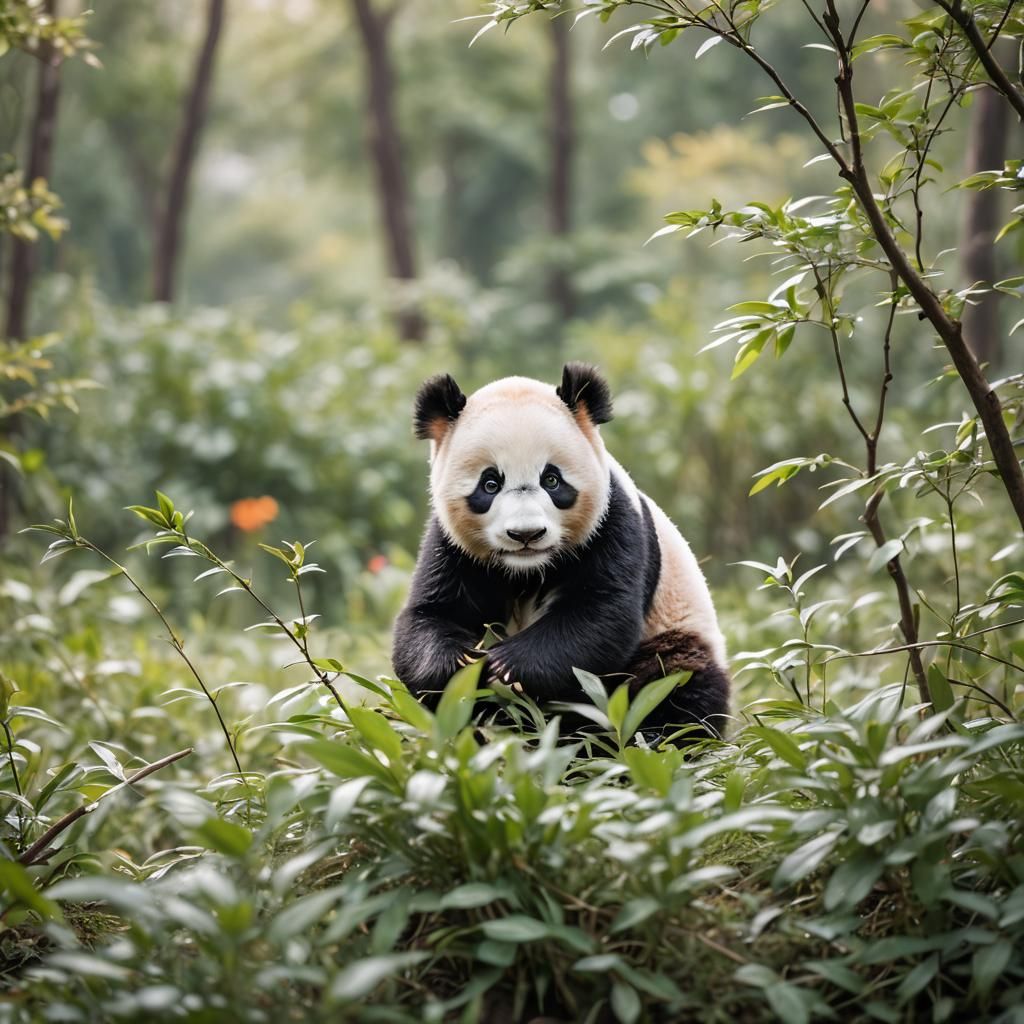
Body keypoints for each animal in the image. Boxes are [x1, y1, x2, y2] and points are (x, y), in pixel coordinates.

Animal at [391, 362, 730, 741]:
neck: (528, 569)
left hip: (671, 637)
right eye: (490, 484)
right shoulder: (452, 547)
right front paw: (462, 666)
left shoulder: (613, 523)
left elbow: (600, 615)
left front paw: (506, 665)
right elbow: (430, 614)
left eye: (551, 480)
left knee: (672, 684)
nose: (526, 534)